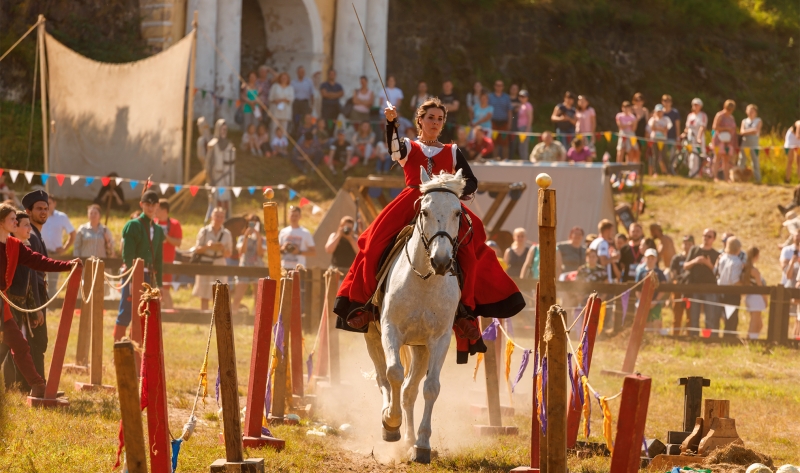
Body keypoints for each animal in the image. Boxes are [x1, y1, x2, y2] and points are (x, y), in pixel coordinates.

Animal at [360, 165, 466, 460]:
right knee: (384, 378)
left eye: (457, 213)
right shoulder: (390, 330)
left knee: (409, 390)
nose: (441, 261)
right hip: (373, 337)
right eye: (425, 211)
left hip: (420, 349)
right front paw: (391, 422)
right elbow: (394, 373)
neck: (425, 282)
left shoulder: (439, 340)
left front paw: (422, 444)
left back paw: (408, 439)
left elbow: (430, 388)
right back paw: (390, 423)